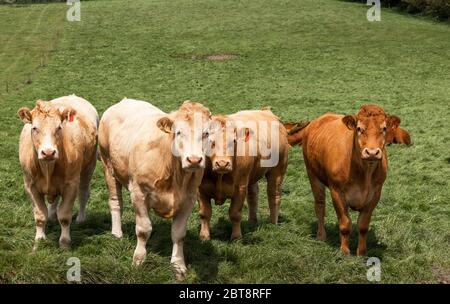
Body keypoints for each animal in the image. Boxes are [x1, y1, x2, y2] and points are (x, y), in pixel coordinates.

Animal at [18, 95, 98, 249]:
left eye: (59, 127)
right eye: (34, 128)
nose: (48, 152)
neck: (47, 168)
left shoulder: (71, 185)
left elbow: (65, 216)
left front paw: (65, 242)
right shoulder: (30, 186)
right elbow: (39, 215)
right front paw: (39, 239)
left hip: (89, 167)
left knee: (84, 193)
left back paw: (80, 218)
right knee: (53, 202)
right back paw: (51, 215)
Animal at [98, 98, 211, 280]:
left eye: (206, 133)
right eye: (178, 132)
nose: (194, 160)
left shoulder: (189, 199)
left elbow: (179, 234)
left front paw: (178, 266)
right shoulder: (138, 193)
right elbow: (144, 229)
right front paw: (138, 260)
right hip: (108, 165)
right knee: (115, 202)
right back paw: (117, 233)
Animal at [199, 108, 290, 241]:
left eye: (234, 141)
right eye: (211, 141)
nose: (222, 164)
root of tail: (266, 111)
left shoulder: (240, 188)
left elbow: (235, 214)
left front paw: (236, 237)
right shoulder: (200, 190)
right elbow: (205, 213)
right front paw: (204, 236)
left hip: (277, 170)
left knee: (274, 195)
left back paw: (273, 223)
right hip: (252, 176)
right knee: (253, 195)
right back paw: (252, 221)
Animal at [286, 105, 406, 255]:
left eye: (384, 128)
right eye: (359, 129)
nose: (372, 152)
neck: (364, 173)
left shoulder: (375, 194)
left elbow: (363, 225)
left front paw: (361, 252)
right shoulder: (337, 192)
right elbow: (345, 224)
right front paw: (344, 251)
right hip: (312, 174)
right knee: (320, 205)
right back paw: (321, 235)